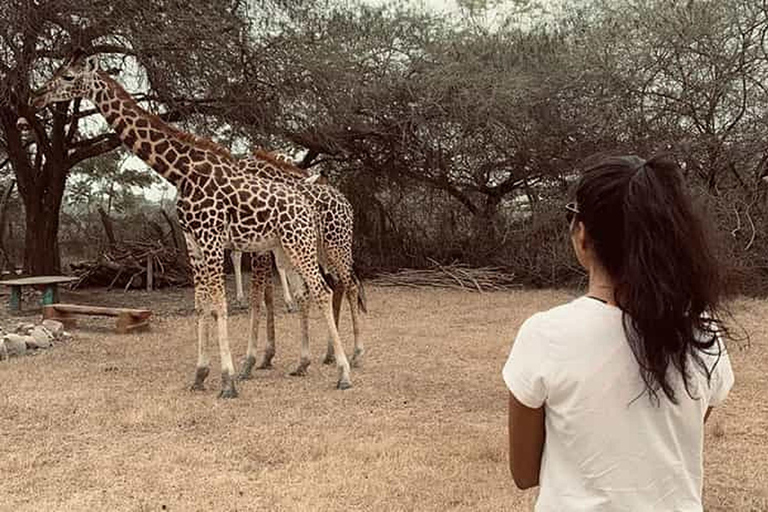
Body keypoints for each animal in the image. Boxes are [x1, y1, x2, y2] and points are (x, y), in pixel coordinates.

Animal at [234, 148, 366, 380]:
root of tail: (346, 204)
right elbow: (268, 293)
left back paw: (351, 354)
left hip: (331, 249)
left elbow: (260, 294)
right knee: (338, 284)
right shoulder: (266, 248)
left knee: (347, 285)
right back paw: (331, 354)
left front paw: (254, 360)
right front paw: (267, 356)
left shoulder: (262, 249)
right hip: (323, 250)